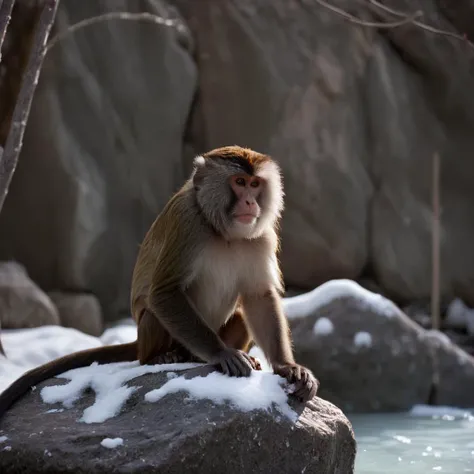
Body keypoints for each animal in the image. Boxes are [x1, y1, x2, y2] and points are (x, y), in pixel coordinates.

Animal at [0, 144, 318, 418]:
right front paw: (220, 353)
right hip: (152, 336)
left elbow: (259, 296)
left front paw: (287, 366)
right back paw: (162, 358)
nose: (251, 202)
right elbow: (165, 292)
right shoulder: (188, 222)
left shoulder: (261, 237)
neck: (222, 230)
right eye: (239, 182)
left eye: (254, 184)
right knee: (154, 315)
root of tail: (139, 343)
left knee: (240, 315)